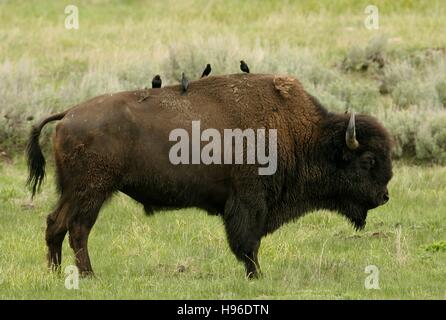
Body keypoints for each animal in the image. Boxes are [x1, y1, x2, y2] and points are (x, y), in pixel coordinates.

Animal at [26, 74, 392, 278]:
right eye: (368, 160)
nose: (385, 196)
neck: (298, 134)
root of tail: (68, 114)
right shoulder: (248, 202)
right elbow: (248, 243)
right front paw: (257, 276)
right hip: (92, 191)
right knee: (78, 229)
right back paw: (89, 276)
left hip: (73, 191)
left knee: (55, 224)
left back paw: (56, 274)